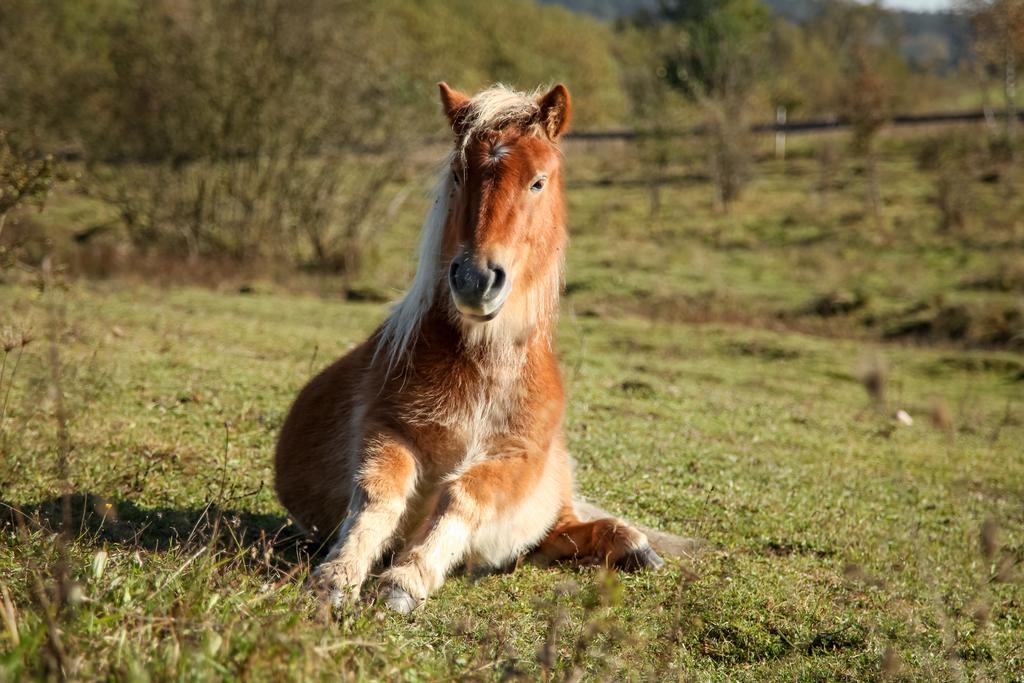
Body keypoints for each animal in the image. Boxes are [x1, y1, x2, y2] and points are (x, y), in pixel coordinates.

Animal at [274, 81, 679, 614]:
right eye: (459, 175)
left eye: (538, 182)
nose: (475, 279)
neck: (484, 364)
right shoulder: (387, 427)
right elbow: (379, 492)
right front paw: (336, 577)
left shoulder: (515, 457)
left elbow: (463, 494)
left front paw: (406, 579)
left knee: (563, 526)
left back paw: (634, 545)